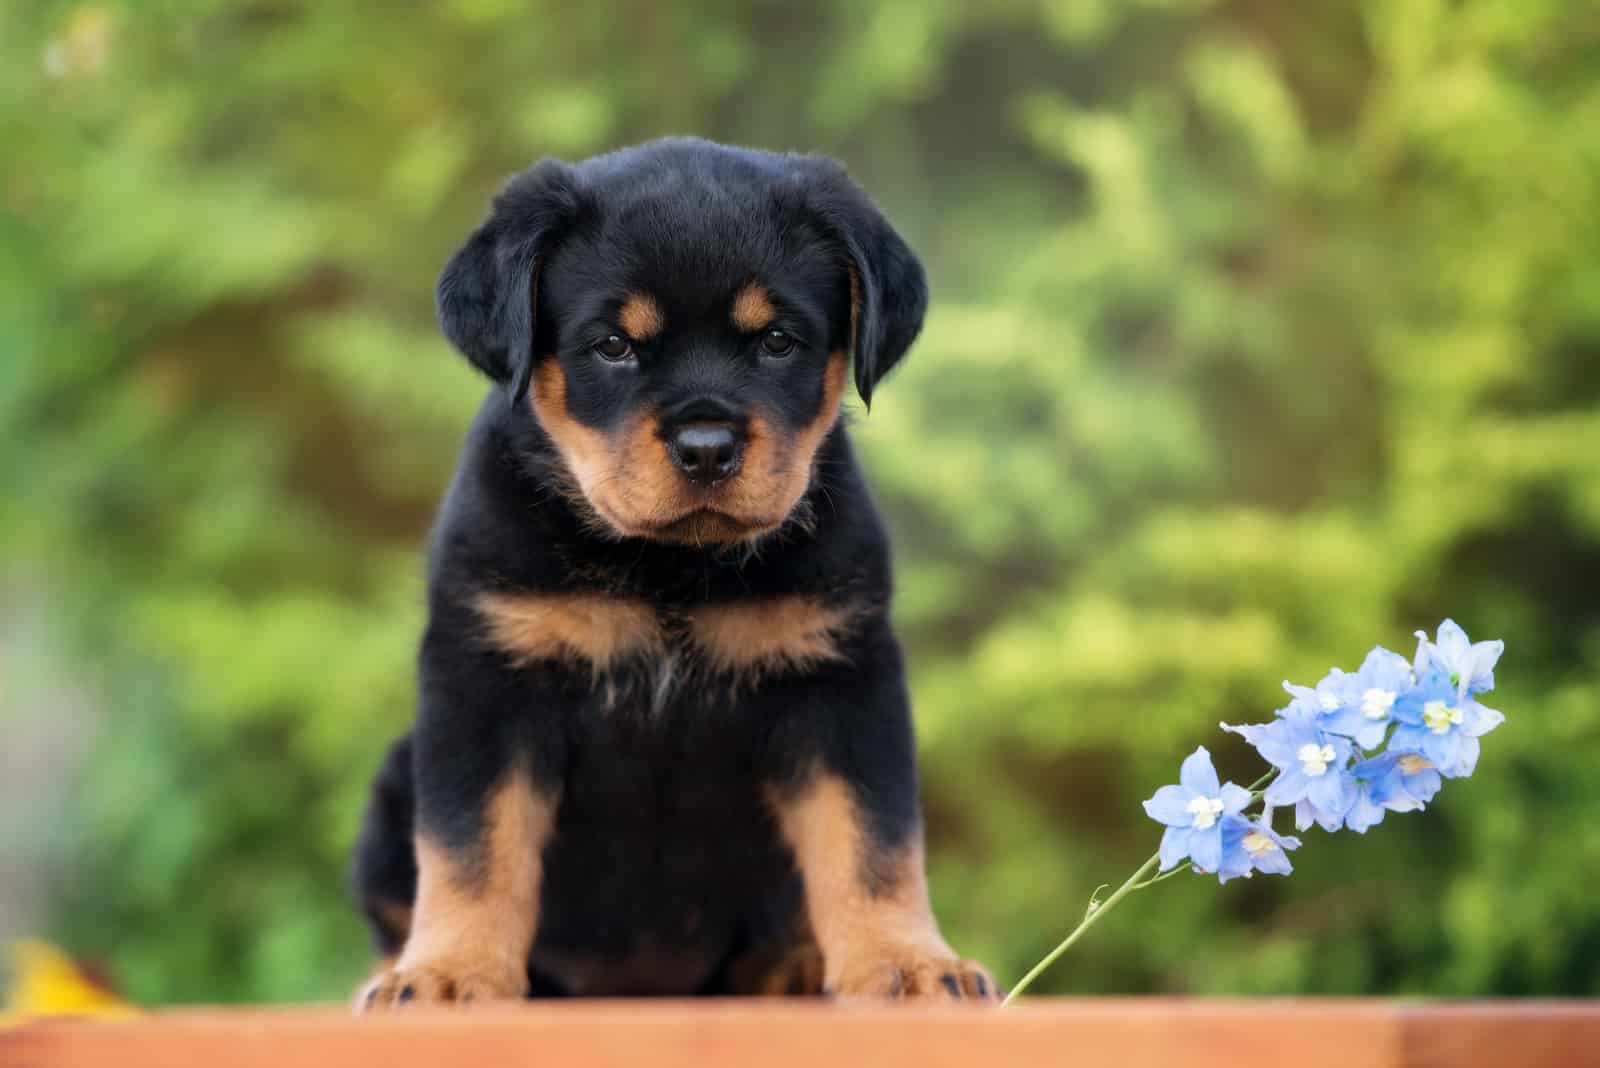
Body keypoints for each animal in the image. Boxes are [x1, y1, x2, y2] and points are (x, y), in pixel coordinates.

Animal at [356, 137, 992, 1004]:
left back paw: (796, 964)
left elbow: (871, 839)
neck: (669, 568)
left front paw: (911, 964)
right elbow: (471, 845)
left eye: (778, 341)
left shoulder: (842, 682)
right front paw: (451, 974)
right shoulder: (486, 683)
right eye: (613, 346)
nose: (706, 448)